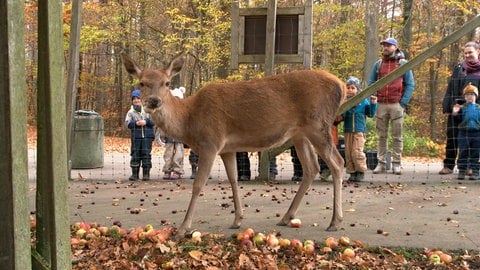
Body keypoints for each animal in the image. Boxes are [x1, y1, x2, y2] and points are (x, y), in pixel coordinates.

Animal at [120, 53, 344, 236]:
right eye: (142, 83)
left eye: (166, 83)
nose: (154, 101)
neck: (190, 120)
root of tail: (340, 86)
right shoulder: (227, 149)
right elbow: (234, 179)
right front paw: (237, 220)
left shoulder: (210, 142)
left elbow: (198, 185)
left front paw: (183, 227)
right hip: (300, 134)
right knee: (311, 167)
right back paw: (287, 217)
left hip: (318, 124)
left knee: (337, 163)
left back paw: (335, 221)